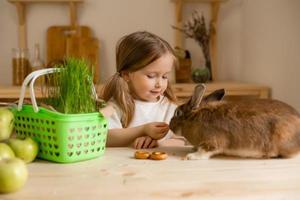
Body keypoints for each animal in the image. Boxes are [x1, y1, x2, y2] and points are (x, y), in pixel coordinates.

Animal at [169, 84, 300, 159]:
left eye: (177, 113)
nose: (169, 125)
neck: (195, 118)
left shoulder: (212, 141)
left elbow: (205, 150)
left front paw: (191, 156)